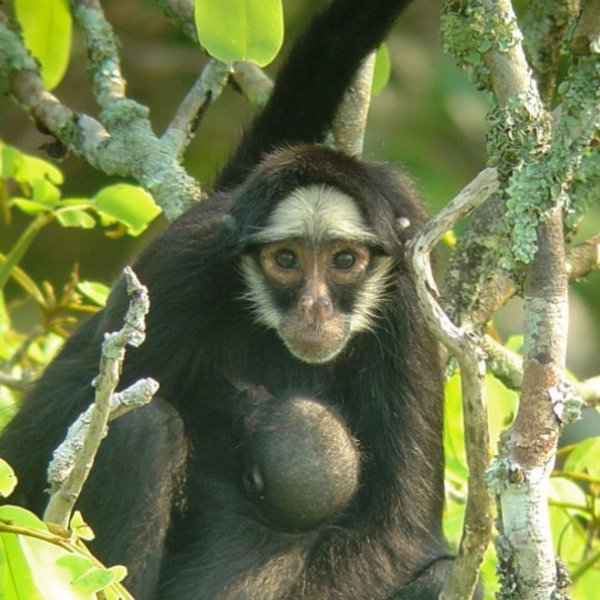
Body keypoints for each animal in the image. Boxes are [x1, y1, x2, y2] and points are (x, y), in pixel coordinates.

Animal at [0, 0, 472, 596]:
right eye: (286, 261)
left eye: (344, 261)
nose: (315, 310)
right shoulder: (184, 267)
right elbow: (20, 455)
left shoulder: (405, 294)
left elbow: (402, 534)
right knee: (142, 429)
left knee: (442, 573)